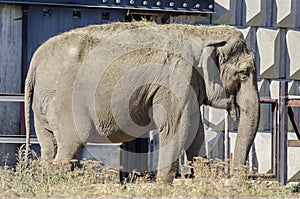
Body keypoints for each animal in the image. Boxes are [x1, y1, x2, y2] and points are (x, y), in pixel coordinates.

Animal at [24, 22, 258, 183]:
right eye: (244, 73)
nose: (239, 181)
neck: (202, 33)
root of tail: (35, 61)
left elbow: (196, 133)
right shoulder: (176, 80)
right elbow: (176, 129)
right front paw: (163, 188)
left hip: (41, 106)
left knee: (48, 147)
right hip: (65, 101)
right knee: (68, 147)